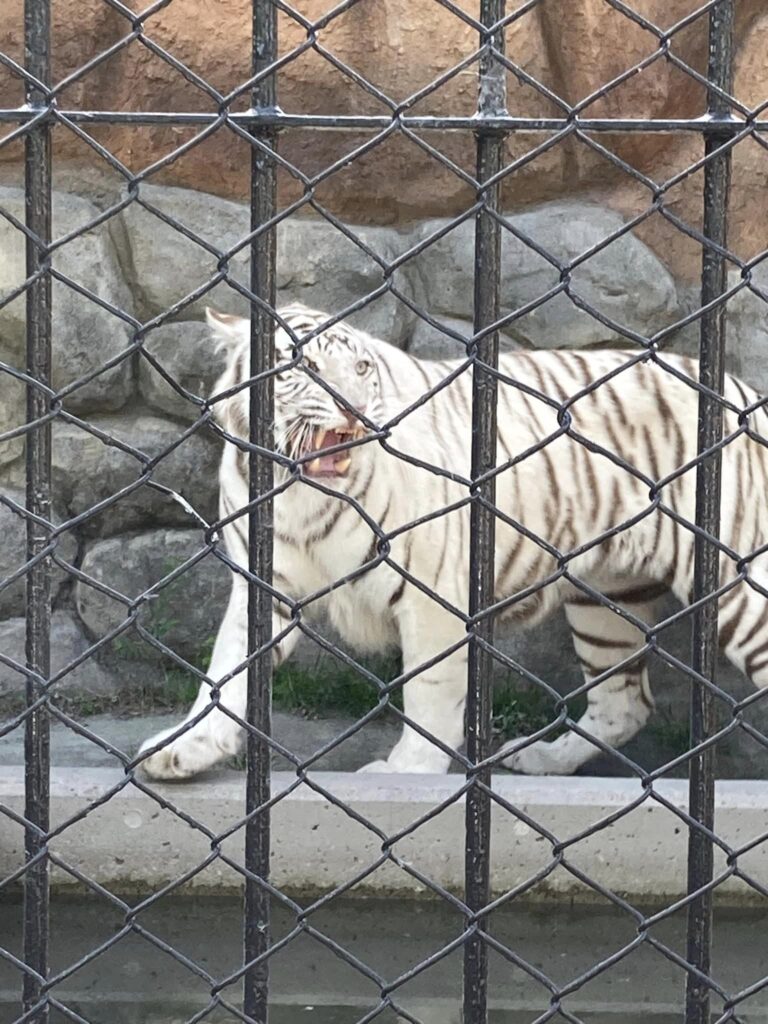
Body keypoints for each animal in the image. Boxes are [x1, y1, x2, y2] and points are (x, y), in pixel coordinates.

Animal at [138, 307, 768, 778]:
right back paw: (539, 758)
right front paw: (185, 748)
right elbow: (226, 672)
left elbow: (430, 691)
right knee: (624, 704)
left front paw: (406, 772)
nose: (352, 407)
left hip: (739, 588)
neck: (300, 494)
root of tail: (744, 389)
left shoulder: (431, 592)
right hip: (607, 596)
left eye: (361, 367)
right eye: (301, 365)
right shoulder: (264, 582)